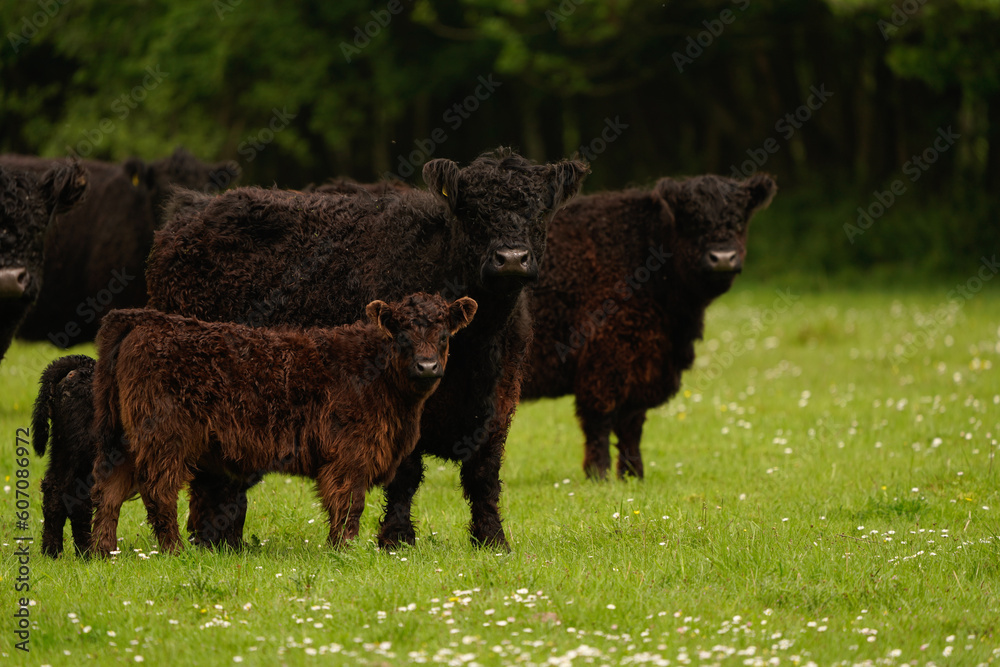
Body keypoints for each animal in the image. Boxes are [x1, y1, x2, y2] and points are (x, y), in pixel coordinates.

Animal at [89, 294, 476, 556]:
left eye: (444, 335)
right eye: (402, 334)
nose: (427, 366)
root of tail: (147, 320)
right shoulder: (350, 455)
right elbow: (349, 504)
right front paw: (345, 551)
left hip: (123, 439)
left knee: (108, 491)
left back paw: (103, 552)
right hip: (164, 438)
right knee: (158, 491)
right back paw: (174, 551)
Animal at [147, 149, 584, 552]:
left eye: (540, 211)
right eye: (472, 212)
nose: (511, 258)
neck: (478, 346)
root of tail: (195, 208)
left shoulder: (499, 404)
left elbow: (484, 476)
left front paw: (493, 540)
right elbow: (405, 476)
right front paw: (397, 539)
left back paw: (220, 540)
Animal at [520, 175, 776, 480]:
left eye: (739, 220)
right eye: (691, 221)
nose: (722, 257)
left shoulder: (641, 365)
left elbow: (632, 425)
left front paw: (633, 475)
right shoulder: (606, 358)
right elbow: (599, 420)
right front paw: (599, 474)